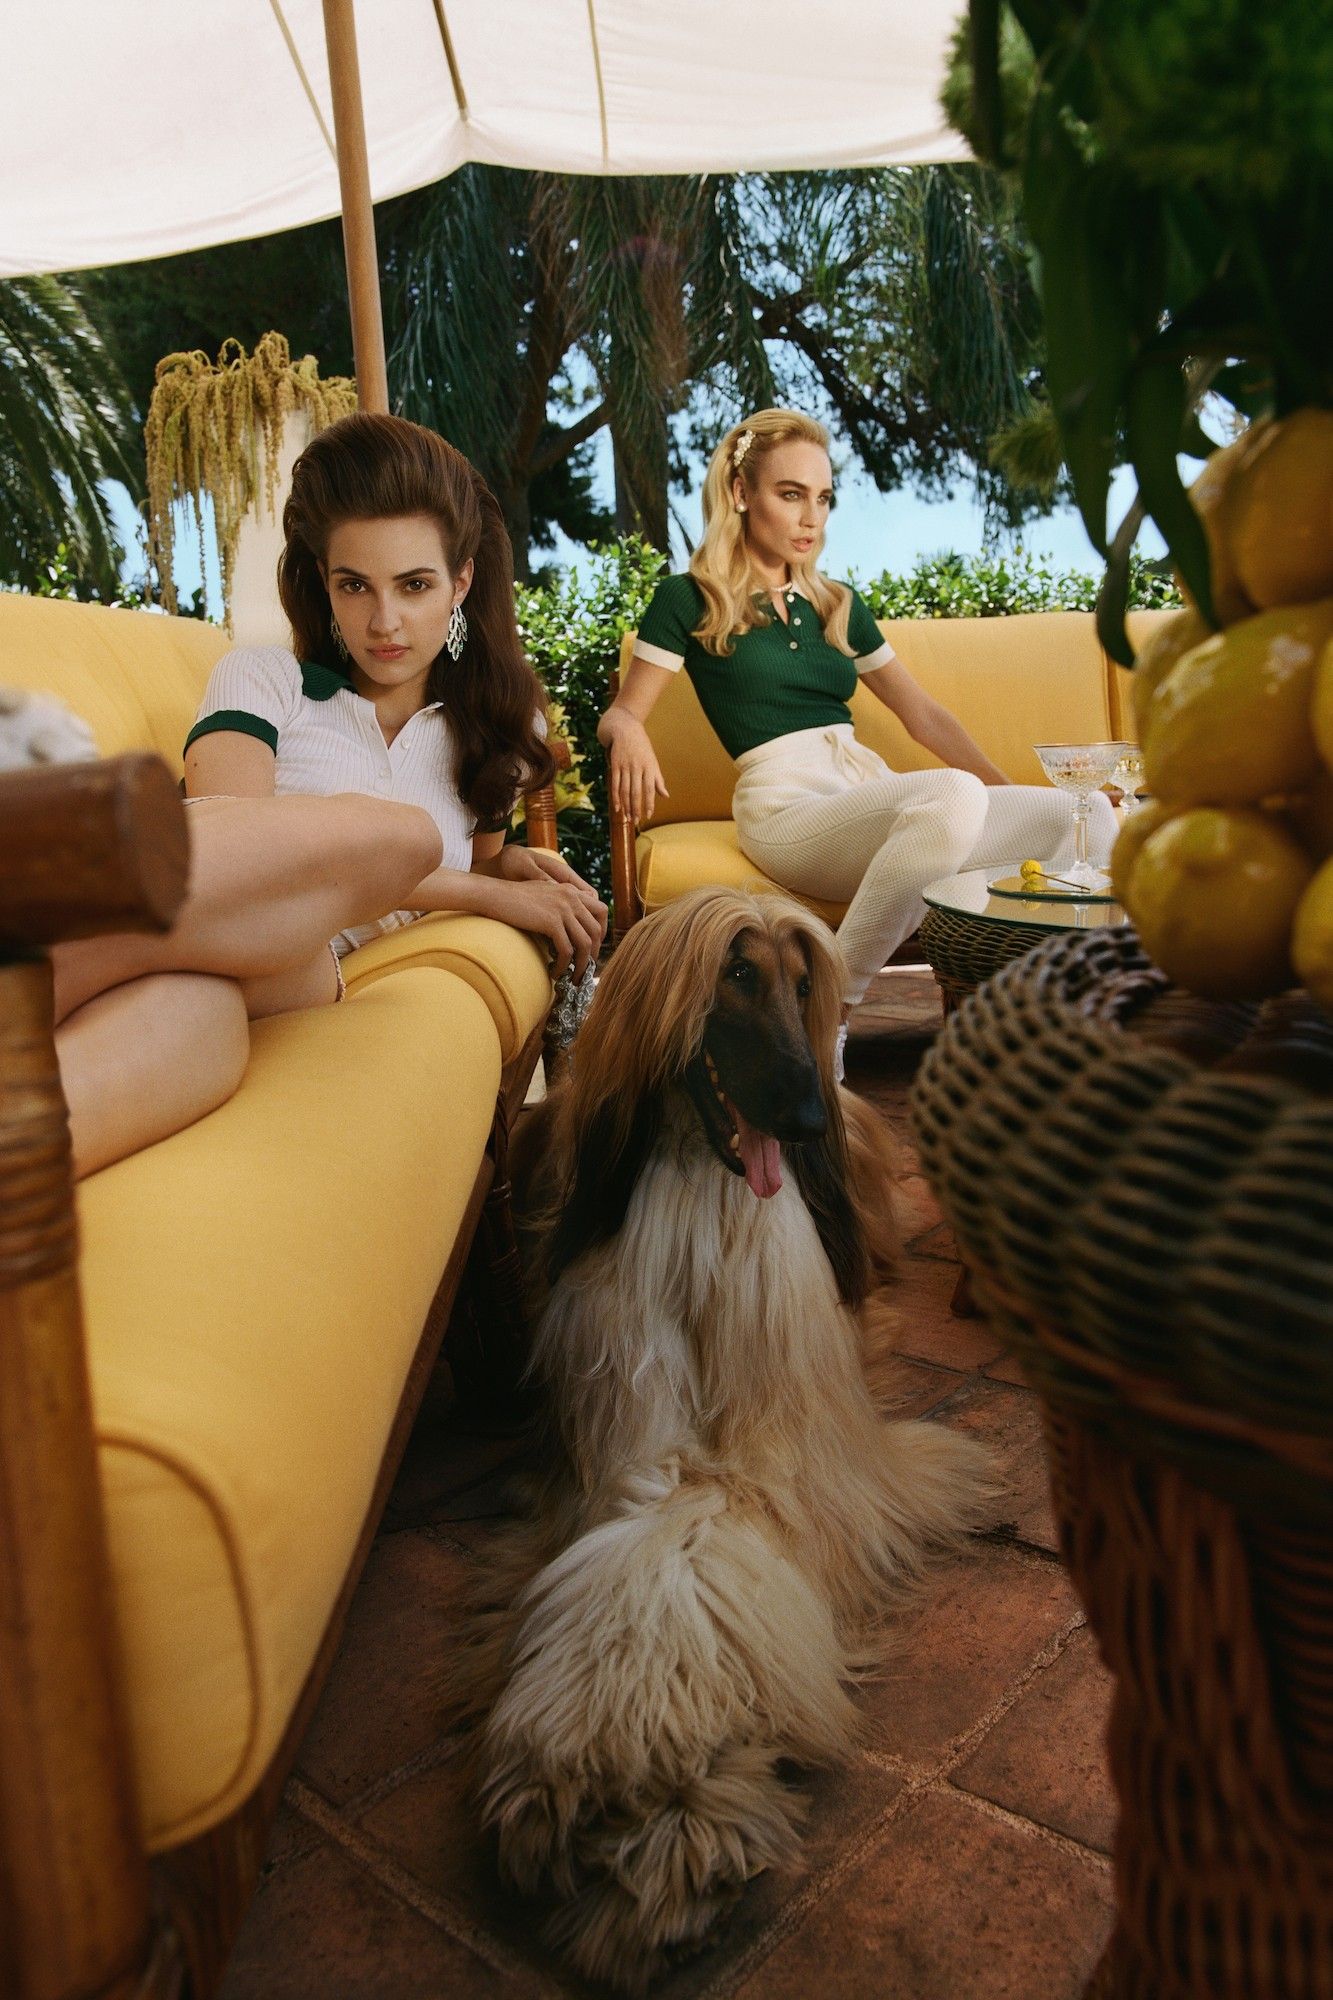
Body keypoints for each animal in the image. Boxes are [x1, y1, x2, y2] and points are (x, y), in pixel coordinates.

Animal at [458, 887, 995, 1989]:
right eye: (735, 975)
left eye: (802, 982)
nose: (805, 1119)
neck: (704, 1185)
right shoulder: (625, 1421)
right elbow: (645, 1536)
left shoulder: (792, 1445)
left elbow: (705, 1544)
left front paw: (665, 1811)